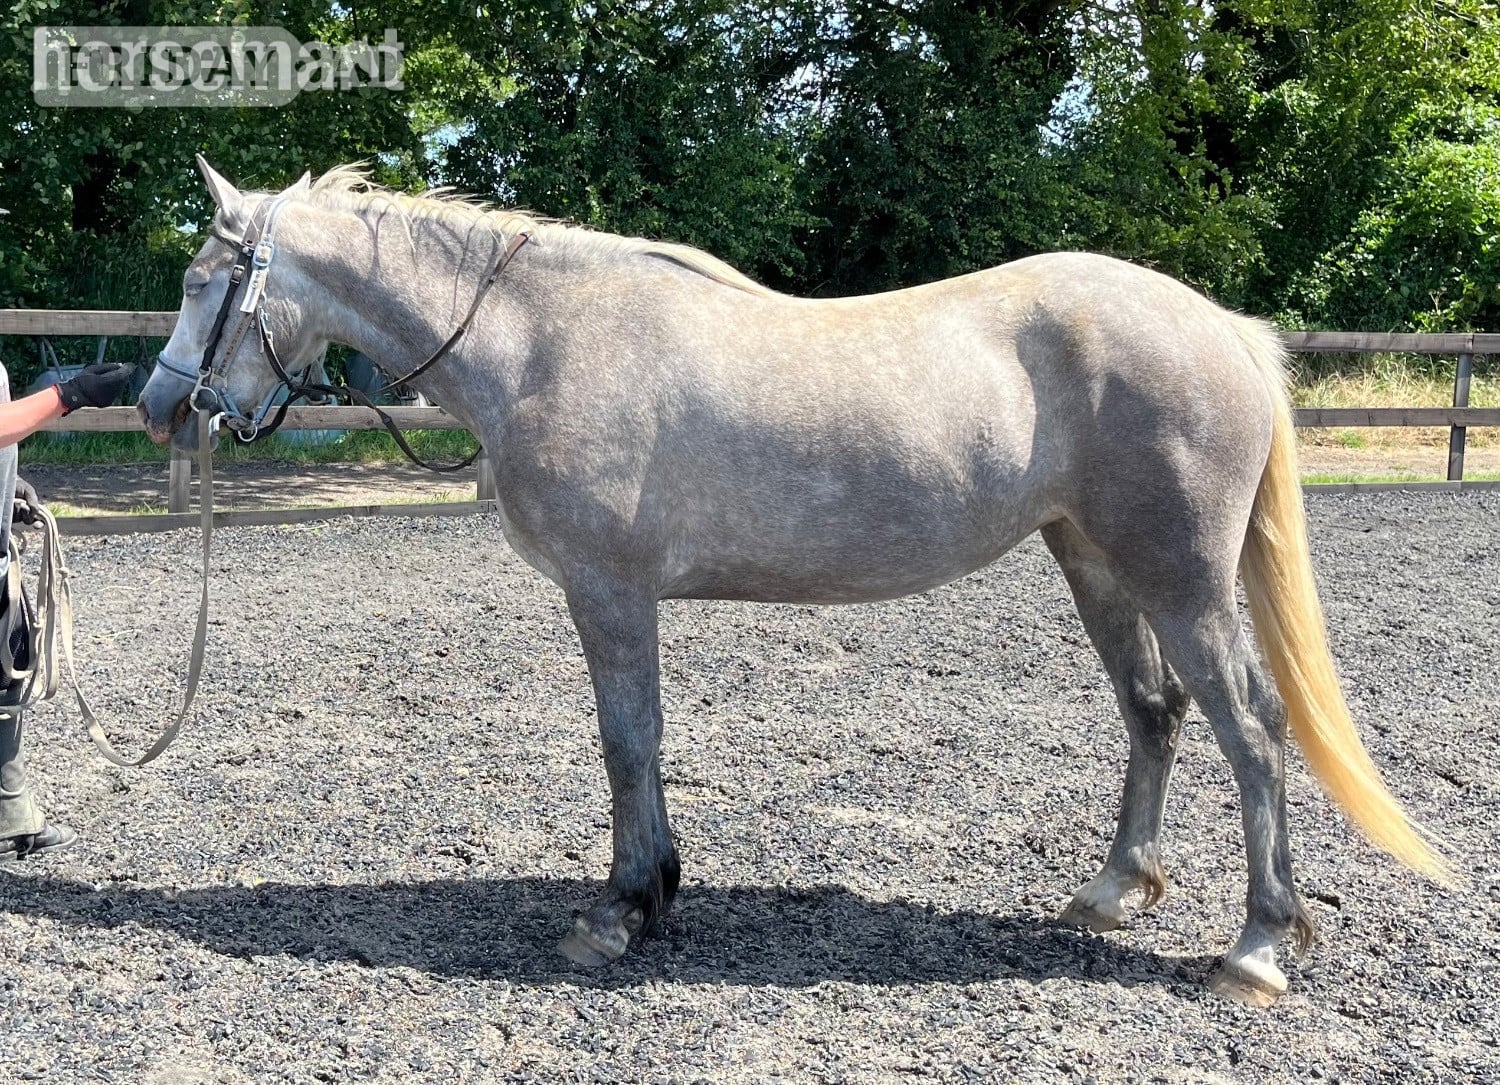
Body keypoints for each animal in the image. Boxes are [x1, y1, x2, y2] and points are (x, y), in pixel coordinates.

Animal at [137, 158, 1451, 1007]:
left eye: (206, 282)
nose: (157, 406)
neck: (543, 340)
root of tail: (1224, 328)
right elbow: (644, 741)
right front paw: (657, 892)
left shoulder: (608, 590)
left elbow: (626, 740)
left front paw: (617, 910)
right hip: (1094, 562)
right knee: (1155, 712)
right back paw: (1116, 888)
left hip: (1179, 578)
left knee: (1253, 732)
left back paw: (1259, 945)